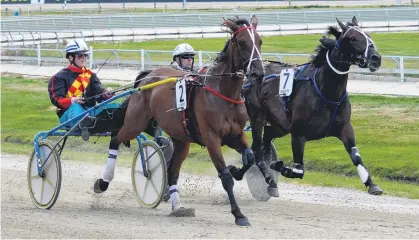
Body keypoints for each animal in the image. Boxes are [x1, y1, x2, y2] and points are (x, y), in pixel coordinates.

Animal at [96, 15, 266, 226]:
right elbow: (225, 177)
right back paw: (103, 182)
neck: (224, 93)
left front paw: (236, 169)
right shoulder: (212, 139)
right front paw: (238, 214)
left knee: (173, 171)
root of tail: (147, 76)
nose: (259, 73)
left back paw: (177, 206)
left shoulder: (235, 135)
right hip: (136, 122)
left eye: (259, 41)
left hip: (181, 139)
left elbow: (250, 158)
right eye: (242, 42)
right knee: (115, 139)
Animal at [244, 16, 386, 197]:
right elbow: (298, 170)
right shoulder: (298, 133)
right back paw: (270, 181)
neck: (327, 93)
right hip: (257, 117)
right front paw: (278, 166)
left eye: (368, 35)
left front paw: (371, 184)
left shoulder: (345, 128)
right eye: (353, 38)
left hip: (280, 124)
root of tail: (252, 76)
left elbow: (356, 157)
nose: (375, 58)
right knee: (256, 150)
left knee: (267, 136)